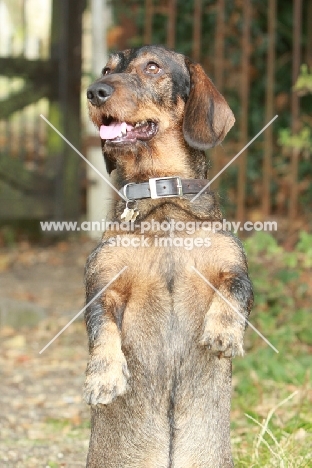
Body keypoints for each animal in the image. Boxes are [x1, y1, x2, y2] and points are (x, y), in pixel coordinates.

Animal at [83, 44, 254, 468]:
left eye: (152, 67)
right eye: (106, 69)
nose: (94, 91)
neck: (161, 202)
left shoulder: (235, 268)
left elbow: (234, 293)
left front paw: (223, 333)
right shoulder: (102, 286)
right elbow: (102, 329)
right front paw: (104, 377)